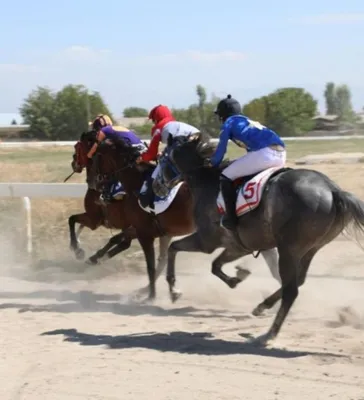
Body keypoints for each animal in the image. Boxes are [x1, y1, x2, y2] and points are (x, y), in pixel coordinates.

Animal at [162, 133, 364, 346]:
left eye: (163, 157)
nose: (158, 187)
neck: (207, 182)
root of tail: (334, 191)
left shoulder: (206, 241)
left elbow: (174, 248)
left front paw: (174, 291)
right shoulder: (237, 246)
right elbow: (215, 265)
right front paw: (237, 277)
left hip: (289, 249)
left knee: (291, 290)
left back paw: (269, 334)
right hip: (310, 249)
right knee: (297, 281)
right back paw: (262, 306)